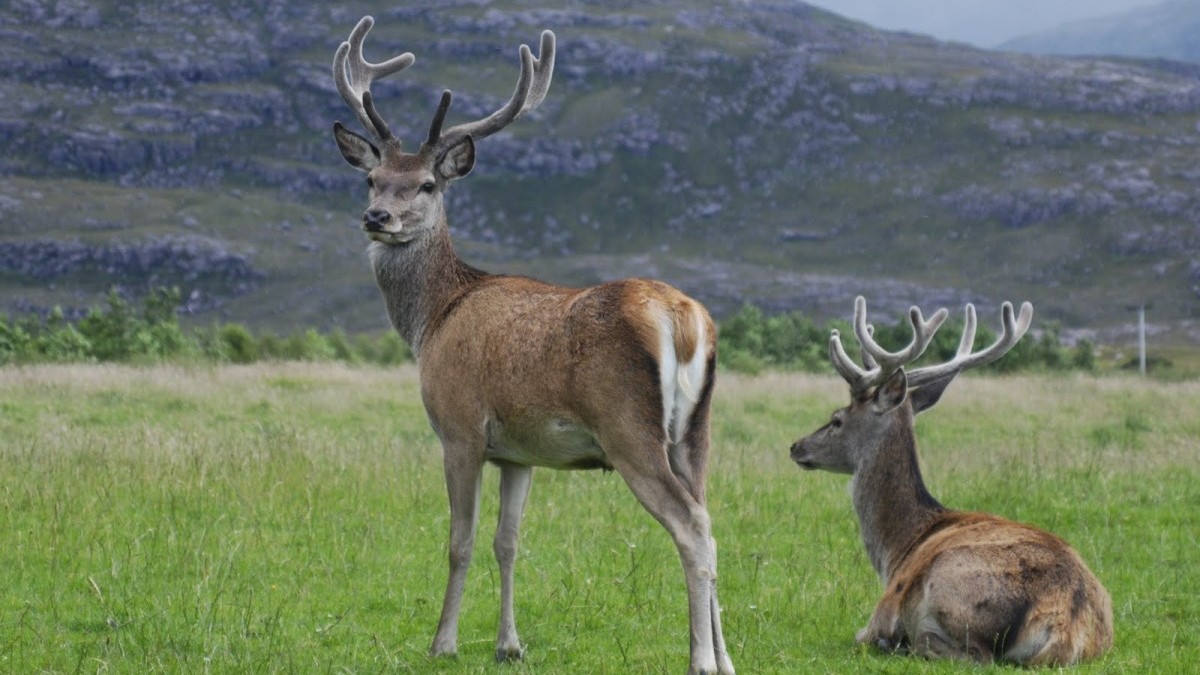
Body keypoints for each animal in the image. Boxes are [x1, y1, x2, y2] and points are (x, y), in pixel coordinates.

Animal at [333, 17, 734, 672]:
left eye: (426, 184)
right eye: (372, 178)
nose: (377, 217)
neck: (432, 319)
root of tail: (684, 319)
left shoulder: (460, 428)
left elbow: (460, 540)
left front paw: (442, 642)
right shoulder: (518, 453)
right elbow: (508, 542)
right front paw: (509, 644)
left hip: (628, 428)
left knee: (692, 528)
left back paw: (699, 659)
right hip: (695, 432)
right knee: (711, 518)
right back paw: (725, 658)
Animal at [792, 296, 1108, 662]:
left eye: (837, 420)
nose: (796, 446)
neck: (897, 550)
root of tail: (1065, 622)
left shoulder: (881, 611)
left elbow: (861, 636)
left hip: (954, 585)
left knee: (972, 654)